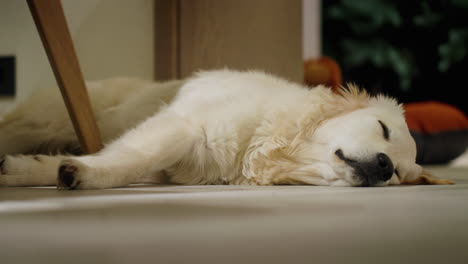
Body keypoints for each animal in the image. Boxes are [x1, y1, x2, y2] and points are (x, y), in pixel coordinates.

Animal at [0, 69, 454, 189]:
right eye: (382, 129)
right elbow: (130, 159)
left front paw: (34, 170)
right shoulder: (179, 127)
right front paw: (88, 175)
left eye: (398, 174)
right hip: (46, 118)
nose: (383, 167)